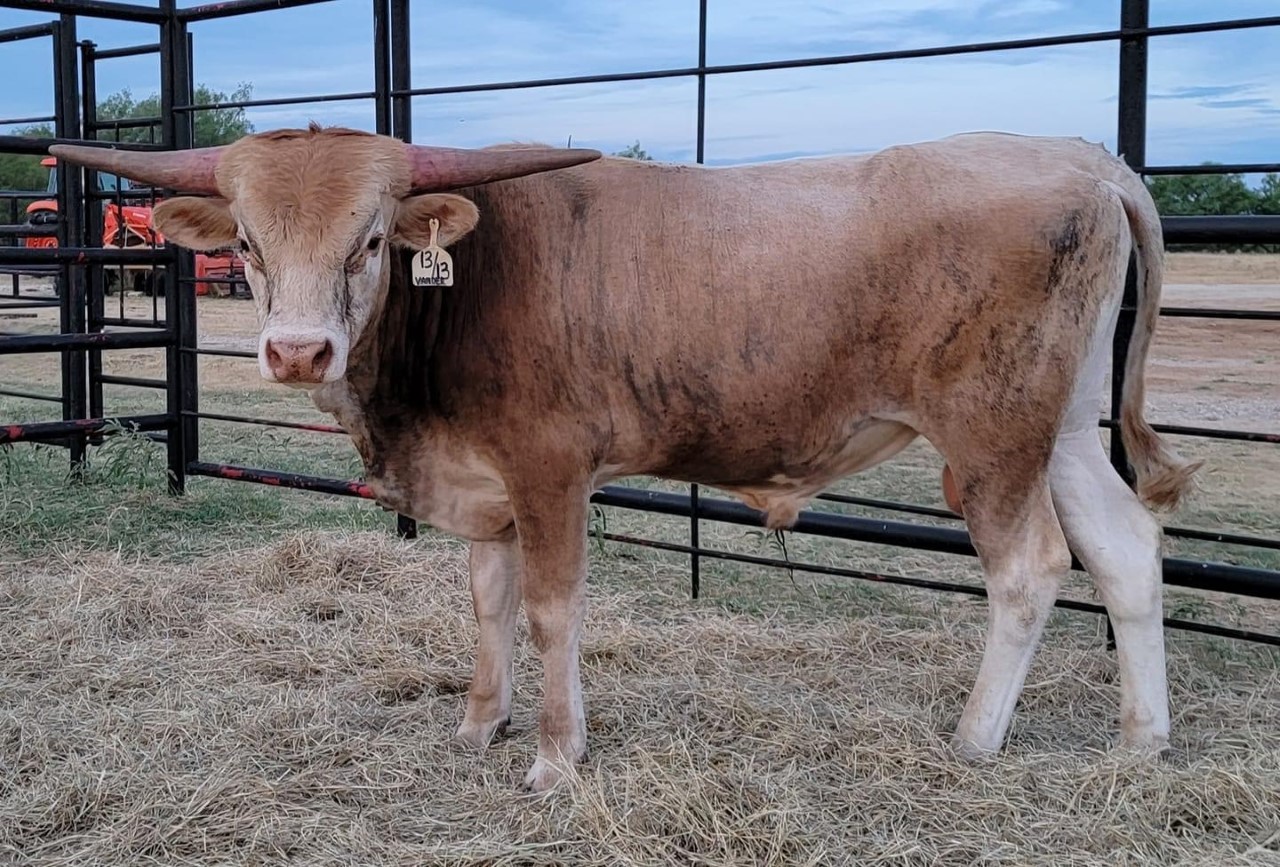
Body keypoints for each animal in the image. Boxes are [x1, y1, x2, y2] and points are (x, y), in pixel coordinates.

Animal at [51, 125, 1200, 793]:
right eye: (244, 242)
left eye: (371, 240)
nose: (296, 351)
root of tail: (1083, 157)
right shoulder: (488, 486)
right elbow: (488, 603)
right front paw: (479, 725)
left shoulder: (550, 465)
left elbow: (551, 608)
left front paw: (557, 757)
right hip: (1063, 427)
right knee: (1123, 547)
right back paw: (1142, 738)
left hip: (992, 432)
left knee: (1030, 567)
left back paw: (972, 737)